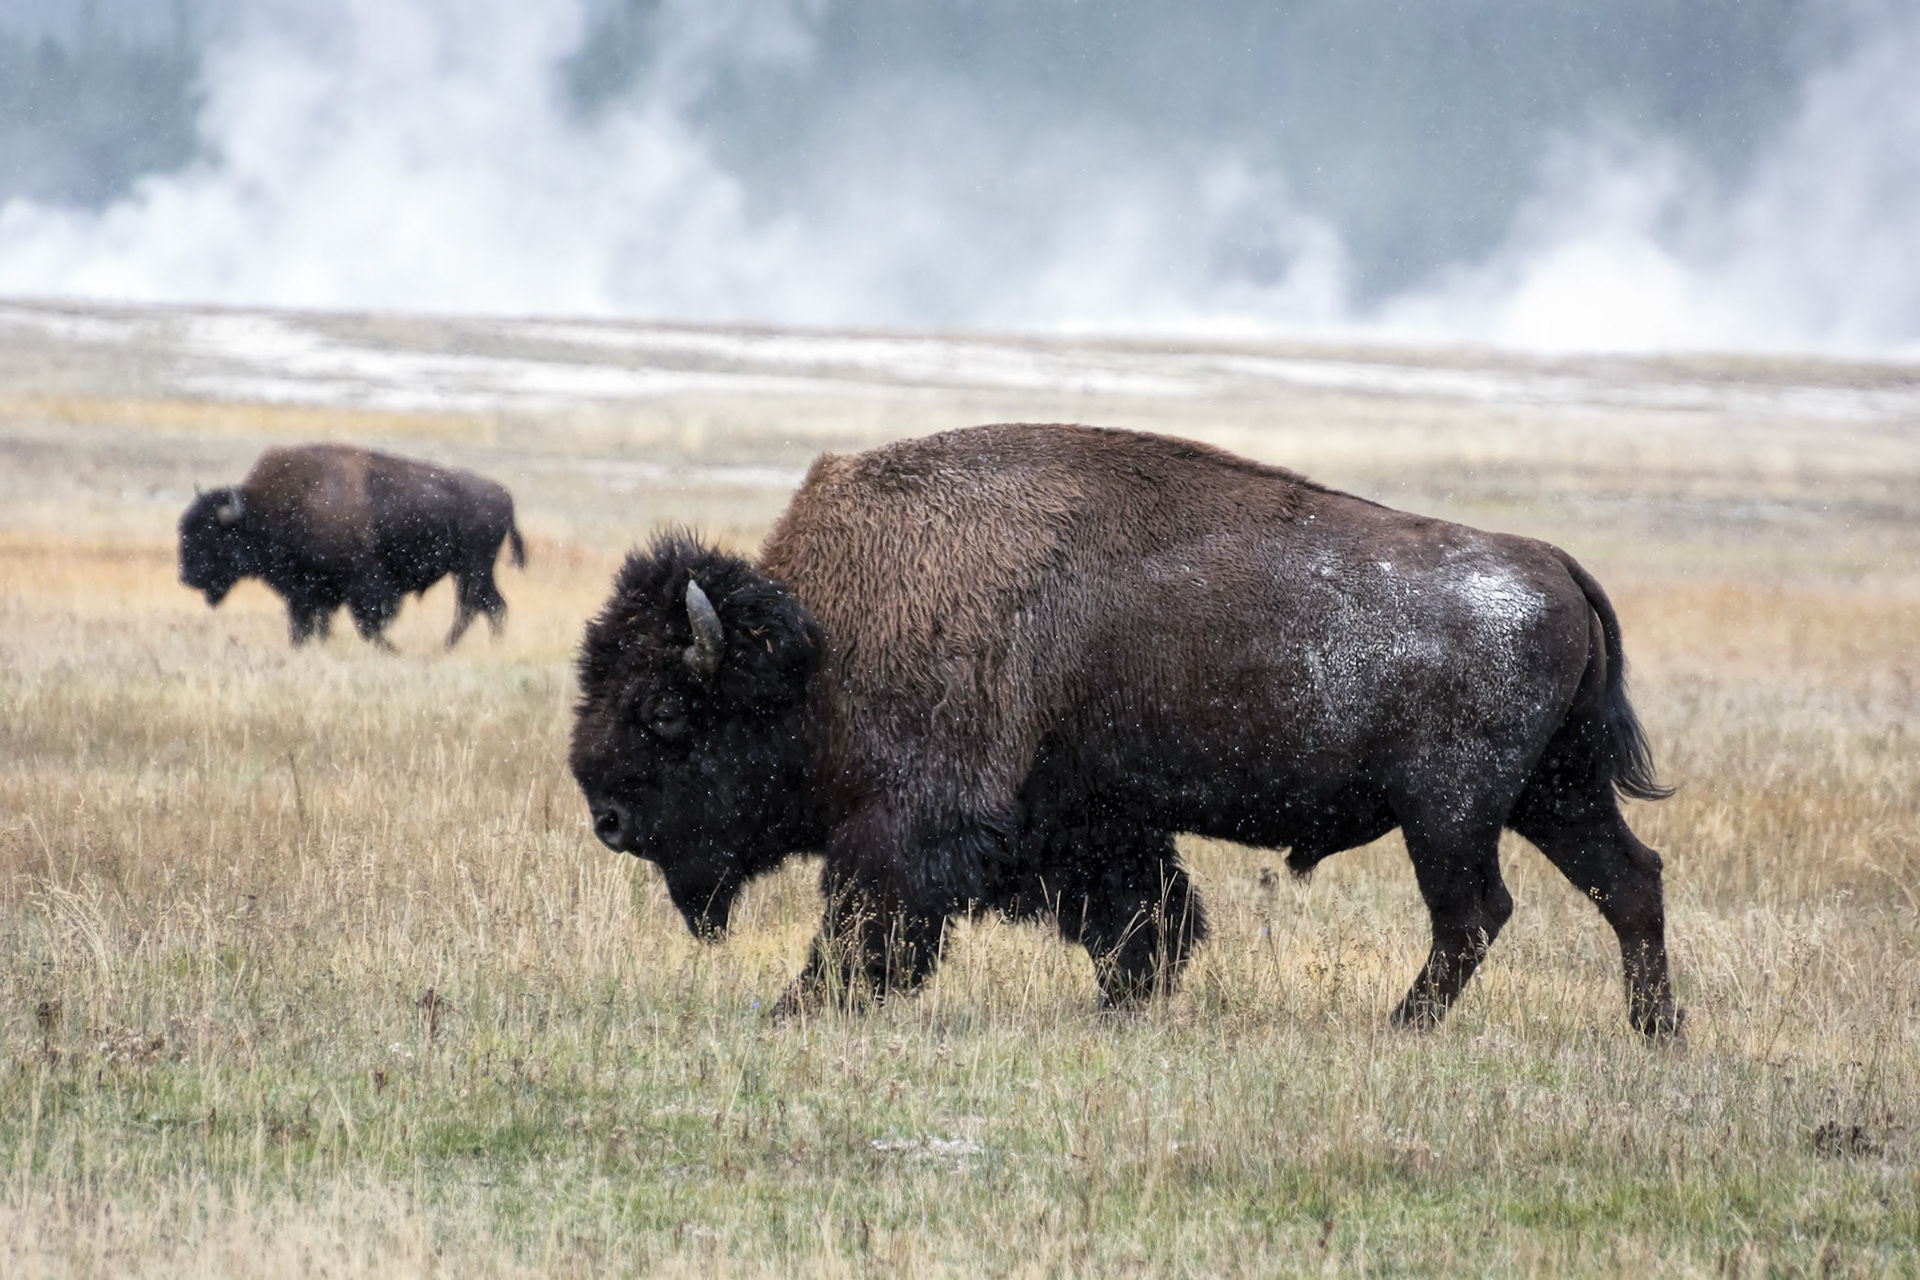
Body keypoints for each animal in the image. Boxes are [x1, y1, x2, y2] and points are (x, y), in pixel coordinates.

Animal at [180, 443, 525, 649]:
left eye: (211, 534)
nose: (187, 577)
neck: (266, 511)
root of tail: (503, 494)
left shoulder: (364, 586)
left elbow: (367, 621)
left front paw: (389, 649)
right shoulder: (306, 592)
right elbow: (307, 624)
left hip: (472, 569)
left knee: (478, 605)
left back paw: (450, 646)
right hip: (469, 571)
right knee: (489, 605)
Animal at [570, 423, 1680, 1035]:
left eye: (665, 711)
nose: (608, 818)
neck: (824, 642)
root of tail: (1553, 564)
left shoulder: (914, 822)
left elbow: (868, 921)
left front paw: (798, 1005)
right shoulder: (1084, 821)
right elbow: (1147, 915)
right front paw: (1121, 1001)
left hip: (1450, 812)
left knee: (1476, 912)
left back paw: (1400, 1028)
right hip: (1553, 794)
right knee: (1628, 880)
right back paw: (1655, 1030)